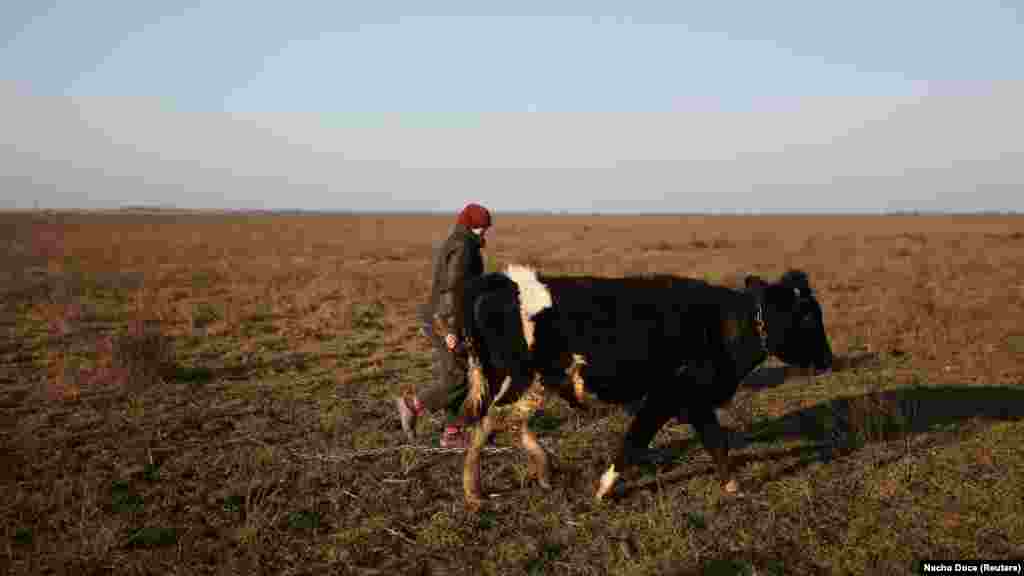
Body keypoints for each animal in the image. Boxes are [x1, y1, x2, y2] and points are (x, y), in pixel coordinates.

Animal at [456, 264, 831, 506]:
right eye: (807, 315)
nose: (828, 359)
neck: (723, 323)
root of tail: (504, 280)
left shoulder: (694, 401)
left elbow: (715, 442)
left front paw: (732, 486)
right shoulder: (667, 396)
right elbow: (635, 440)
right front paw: (604, 489)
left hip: (529, 382)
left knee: (509, 422)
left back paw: (542, 471)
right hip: (522, 379)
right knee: (490, 422)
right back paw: (475, 491)